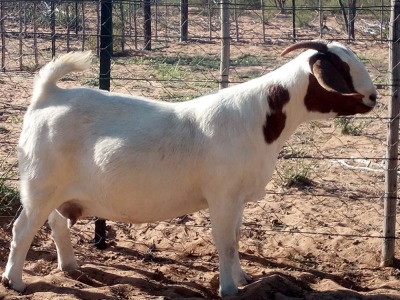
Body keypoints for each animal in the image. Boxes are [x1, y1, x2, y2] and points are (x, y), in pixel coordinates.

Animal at [2, 41, 376, 296]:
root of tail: (48, 95)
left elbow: (235, 238)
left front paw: (243, 279)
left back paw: (70, 266)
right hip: (39, 185)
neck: (259, 120)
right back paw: (15, 281)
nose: (373, 97)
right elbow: (225, 242)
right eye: (342, 70)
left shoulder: (237, 199)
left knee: (55, 223)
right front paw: (229, 290)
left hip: (59, 190)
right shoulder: (222, 196)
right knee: (22, 229)